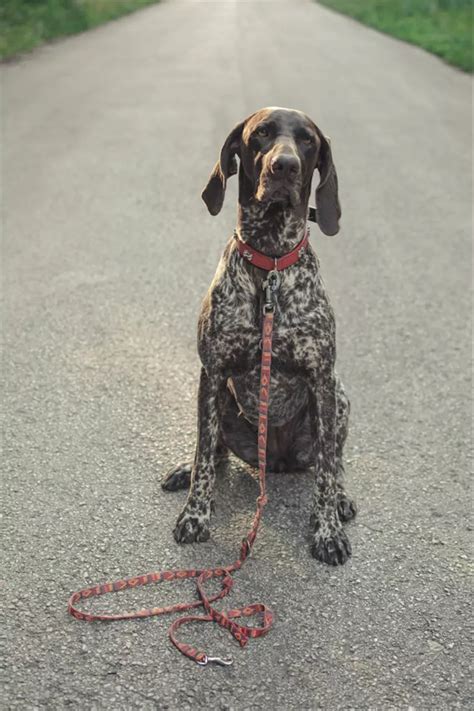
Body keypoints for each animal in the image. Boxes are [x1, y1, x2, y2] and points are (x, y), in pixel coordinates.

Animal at [162, 105, 356, 564]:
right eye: (262, 134)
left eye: (308, 140)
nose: (284, 165)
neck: (270, 263)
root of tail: (278, 461)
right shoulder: (212, 372)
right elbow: (204, 454)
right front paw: (195, 514)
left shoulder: (323, 379)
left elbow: (326, 470)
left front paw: (327, 530)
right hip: (221, 401)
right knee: (212, 452)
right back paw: (186, 469)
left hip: (340, 398)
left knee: (333, 460)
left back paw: (340, 498)